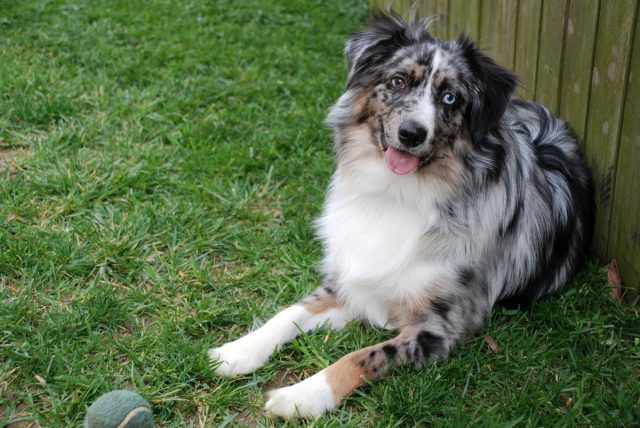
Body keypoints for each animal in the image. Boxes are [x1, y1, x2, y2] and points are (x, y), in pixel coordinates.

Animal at [210, 14, 596, 418]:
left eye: (450, 97)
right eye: (397, 81)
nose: (412, 133)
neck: (397, 193)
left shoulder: (438, 329)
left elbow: (361, 356)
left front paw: (302, 395)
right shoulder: (352, 282)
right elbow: (289, 313)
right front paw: (239, 351)